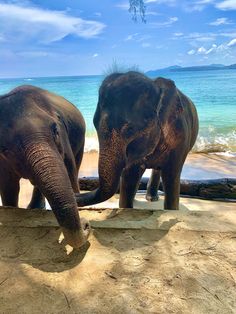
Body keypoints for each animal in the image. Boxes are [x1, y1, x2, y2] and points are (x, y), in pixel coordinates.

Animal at [0, 85, 90, 248]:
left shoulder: (64, 136)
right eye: (4, 149)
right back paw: (34, 208)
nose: (86, 224)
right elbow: (8, 187)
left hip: (82, 139)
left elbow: (69, 168)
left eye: (55, 130)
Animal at [76, 70, 198, 210]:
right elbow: (129, 177)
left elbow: (171, 177)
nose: (75, 194)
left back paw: (152, 198)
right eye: (94, 123)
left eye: (130, 129)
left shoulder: (179, 139)